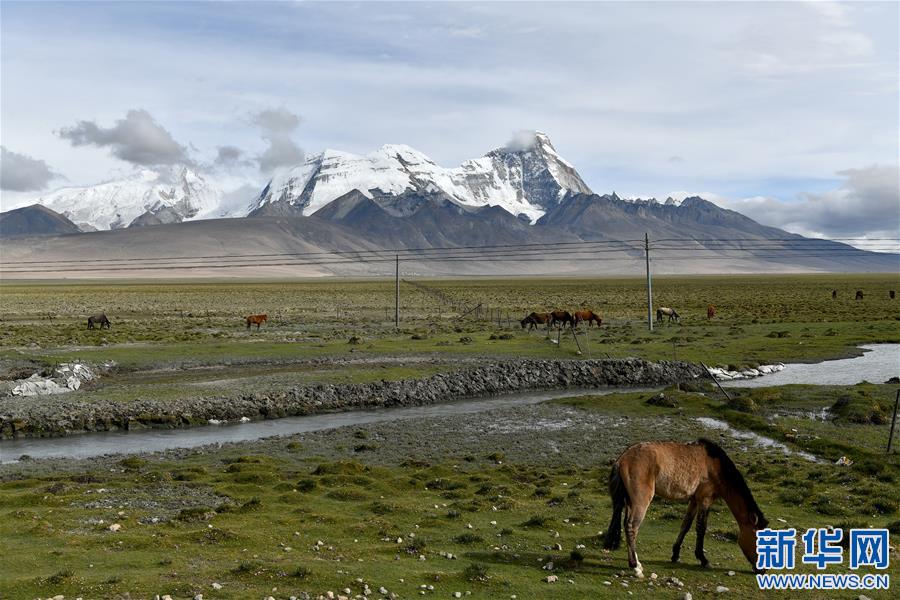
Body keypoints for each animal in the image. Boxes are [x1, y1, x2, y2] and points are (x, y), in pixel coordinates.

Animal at [604, 440, 768, 576]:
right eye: (759, 540)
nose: (763, 570)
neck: (715, 466)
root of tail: (622, 459)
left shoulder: (694, 501)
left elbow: (686, 525)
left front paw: (675, 554)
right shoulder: (705, 500)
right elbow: (701, 527)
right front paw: (703, 559)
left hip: (629, 501)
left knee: (626, 524)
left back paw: (637, 562)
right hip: (640, 501)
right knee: (632, 527)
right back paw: (635, 567)